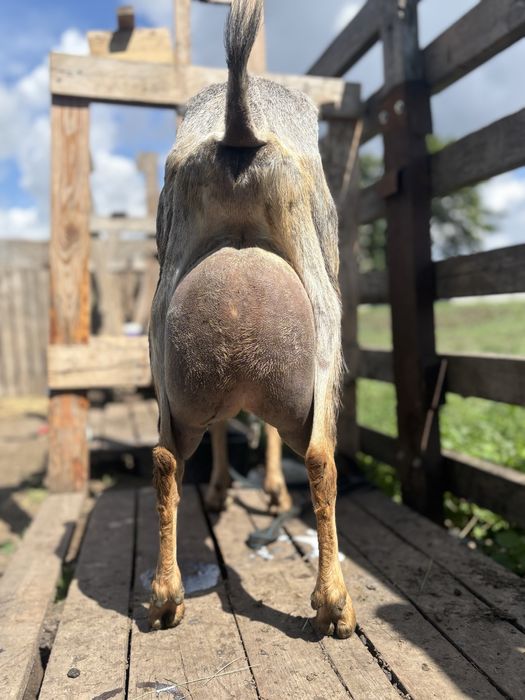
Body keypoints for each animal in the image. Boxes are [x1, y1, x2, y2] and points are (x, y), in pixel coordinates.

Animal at [149, 0, 356, 638]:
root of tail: (240, 129)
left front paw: (222, 490)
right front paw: (261, 490)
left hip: (165, 344)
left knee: (166, 457)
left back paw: (165, 597)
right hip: (324, 329)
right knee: (319, 458)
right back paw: (335, 605)